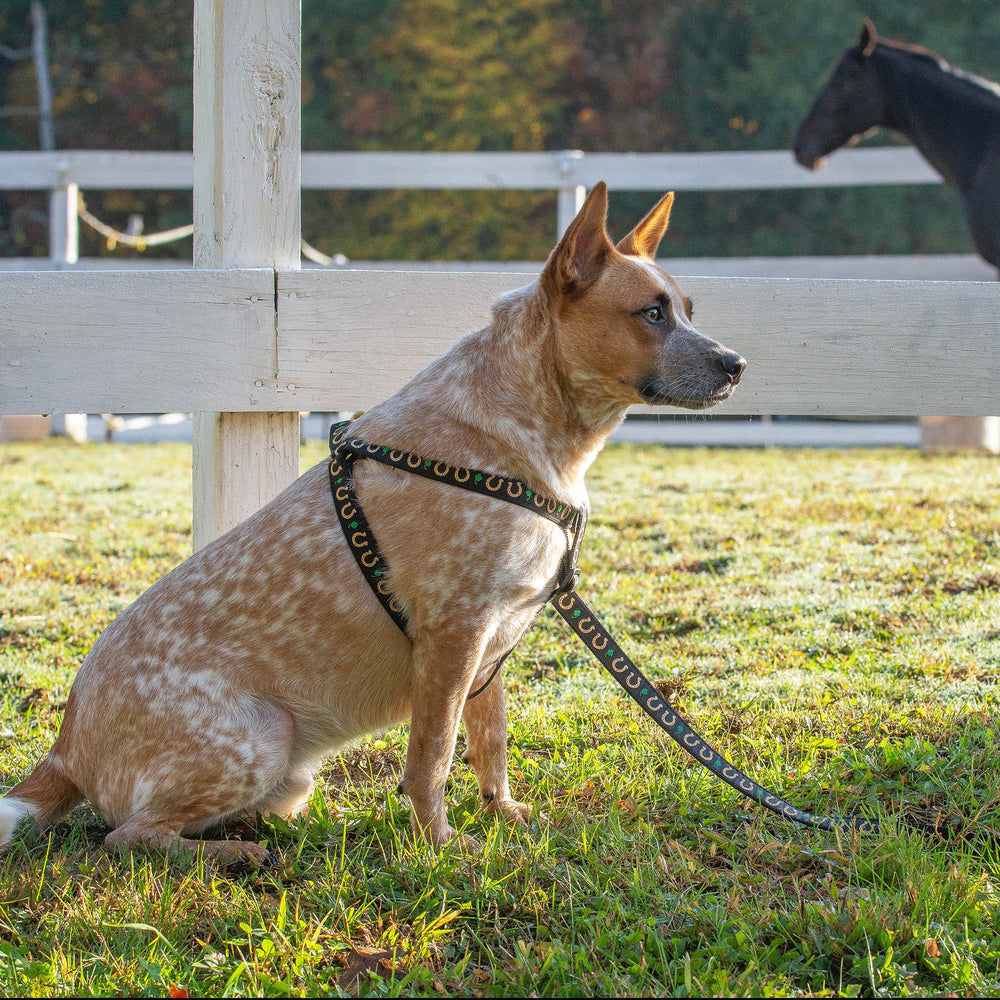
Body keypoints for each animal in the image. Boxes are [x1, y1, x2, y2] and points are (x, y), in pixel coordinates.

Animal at [0, 186, 744, 860]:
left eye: (688, 311)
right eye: (651, 312)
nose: (736, 364)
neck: (529, 429)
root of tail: (64, 748)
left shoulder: (494, 639)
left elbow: (491, 742)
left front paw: (501, 814)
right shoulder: (454, 633)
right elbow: (434, 756)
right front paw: (440, 843)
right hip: (259, 735)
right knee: (127, 835)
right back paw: (235, 853)